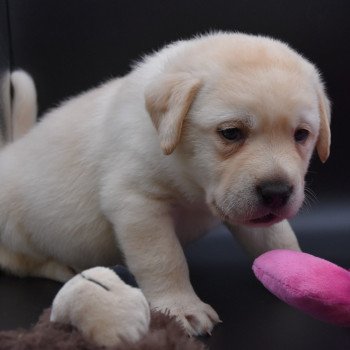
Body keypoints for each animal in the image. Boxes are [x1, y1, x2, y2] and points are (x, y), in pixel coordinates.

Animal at [0, 33, 330, 336]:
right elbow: (164, 259)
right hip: (15, 228)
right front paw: (182, 308)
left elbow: (278, 239)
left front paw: (301, 272)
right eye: (231, 132)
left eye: (301, 135)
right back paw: (62, 267)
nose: (277, 193)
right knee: (19, 261)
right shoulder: (138, 202)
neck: (190, 178)